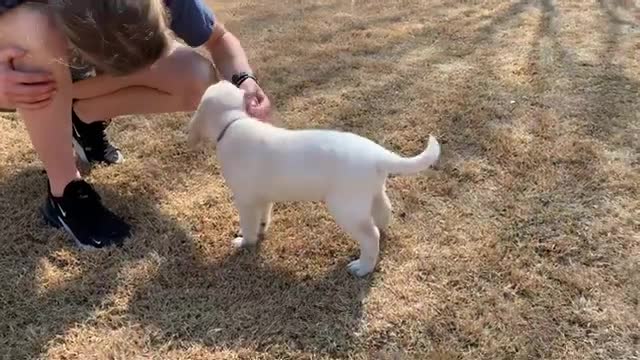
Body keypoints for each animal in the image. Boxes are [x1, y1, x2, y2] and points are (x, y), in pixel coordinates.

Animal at [188, 81, 442, 278]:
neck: (233, 121)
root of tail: (377, 154)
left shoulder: (246, 201)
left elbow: (249, 226)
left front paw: (244, 242)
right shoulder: (263, 198)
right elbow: (263, 217)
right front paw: (262, 230)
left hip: (346, 208)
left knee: (371, 236)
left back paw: (362, 267)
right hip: (373, 194)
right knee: (383, 215)